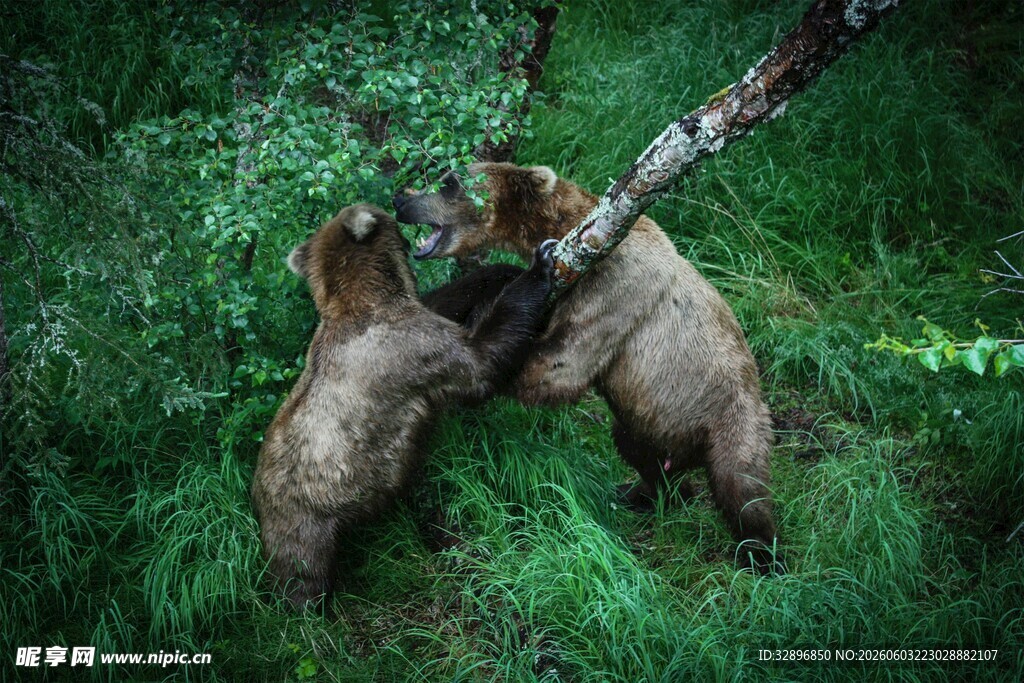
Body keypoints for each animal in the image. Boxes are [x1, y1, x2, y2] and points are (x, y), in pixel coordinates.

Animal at [251, 203, 557, 607]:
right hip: (303, 518)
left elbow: (442, 302)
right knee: (302, 571)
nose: (397, 211)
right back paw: (312, 606)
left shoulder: (414, 321)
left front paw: (501, 270)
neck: (360, 301)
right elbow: (479, 360)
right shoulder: (409, 350)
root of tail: (256, 499)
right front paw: (540, 265)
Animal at [394, 163, 780, 572]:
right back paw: (647, 492)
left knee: (741, 488)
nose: (401, 200)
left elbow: (559, 364)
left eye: (448, 183)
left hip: (730, 417)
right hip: (647, 422)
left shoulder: (612, 285)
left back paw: (762, 554)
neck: (577, 233)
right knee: (637, 451)